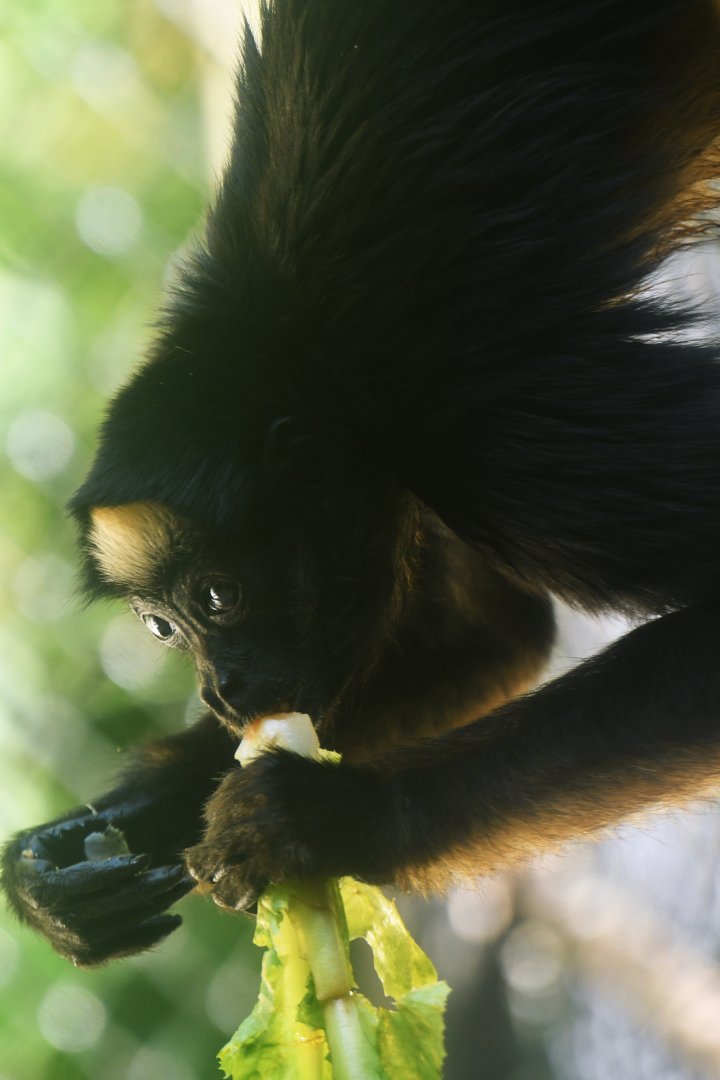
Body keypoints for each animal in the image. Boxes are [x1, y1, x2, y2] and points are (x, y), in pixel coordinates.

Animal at [3, 0, 720, 967]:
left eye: (219, 596)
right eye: (161, 628)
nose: (219, 693)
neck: (285, 337)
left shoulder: (476, 423)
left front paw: (340, 820)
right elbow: (493, 639)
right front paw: (74, 858)